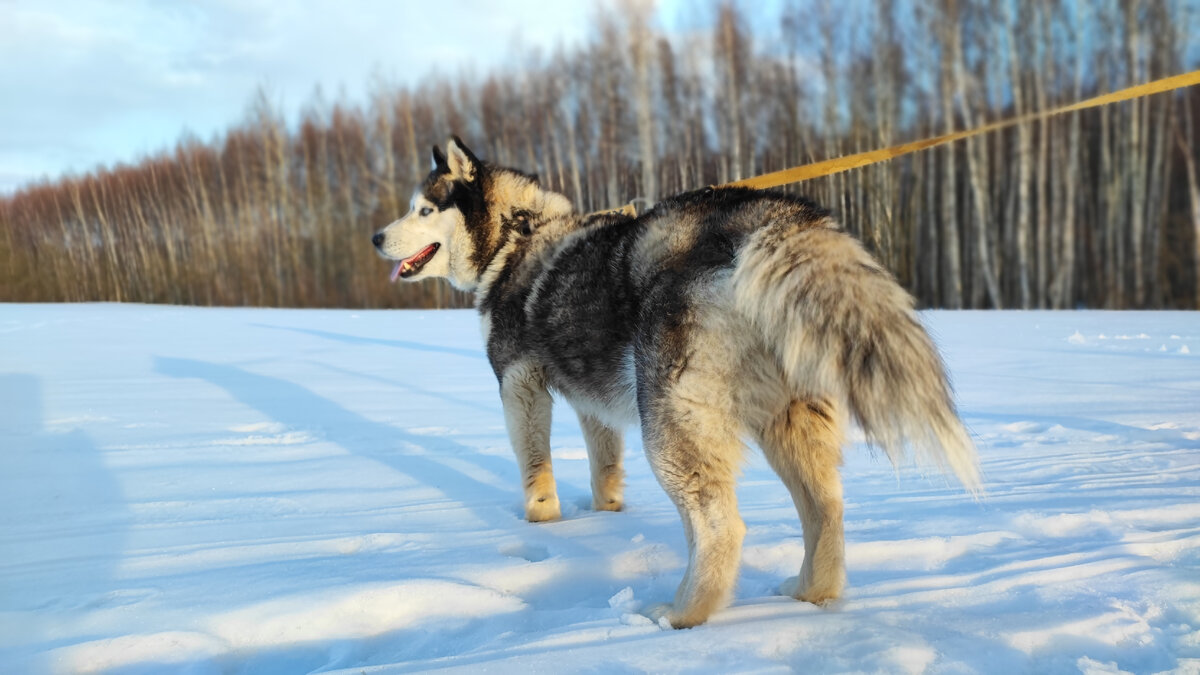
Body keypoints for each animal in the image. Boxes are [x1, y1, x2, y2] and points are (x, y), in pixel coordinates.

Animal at [374, 136, 984, 624]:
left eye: (423, 209)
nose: (378, 236)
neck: (515, 235)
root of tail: (765, 216)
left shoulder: (519, 385)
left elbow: (535, 471)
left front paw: (542, 524)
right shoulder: (593, 403)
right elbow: (604, 467)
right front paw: (607, 514)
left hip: (670, 424)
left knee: (720, 527)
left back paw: (680, 615)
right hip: (784, 420)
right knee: (824, 509)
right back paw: (811, 593)